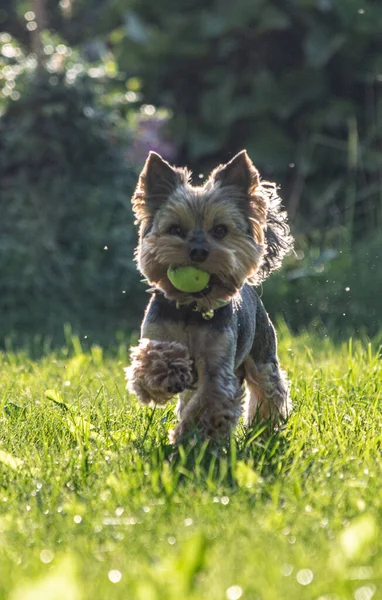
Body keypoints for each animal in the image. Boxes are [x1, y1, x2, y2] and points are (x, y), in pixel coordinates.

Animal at [127, 149, 294, 440]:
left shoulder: (220, 365)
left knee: (269, 386)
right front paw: (170, 371)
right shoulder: (154, 336)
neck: (192, 308)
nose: (198, 251)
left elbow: (211, 399)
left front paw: (194, 436)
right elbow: (151, 361)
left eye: (220, 230)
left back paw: (264, 429)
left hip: (262, 351)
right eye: (175, 230)